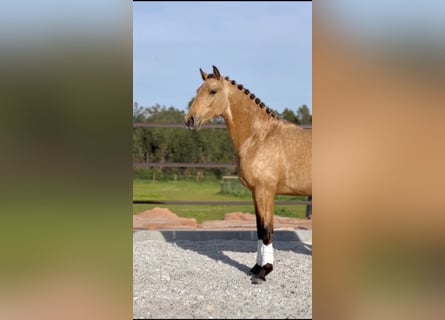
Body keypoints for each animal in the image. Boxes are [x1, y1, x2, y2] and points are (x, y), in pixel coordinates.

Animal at [182, 65, 310, 284]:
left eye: (212, 91)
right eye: (198, 89)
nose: (190, 120)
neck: (259, 136)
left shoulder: (264, 192)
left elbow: (266, 231)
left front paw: (263, 272)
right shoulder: (255, 193)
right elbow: (259, 229)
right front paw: (256, 267)